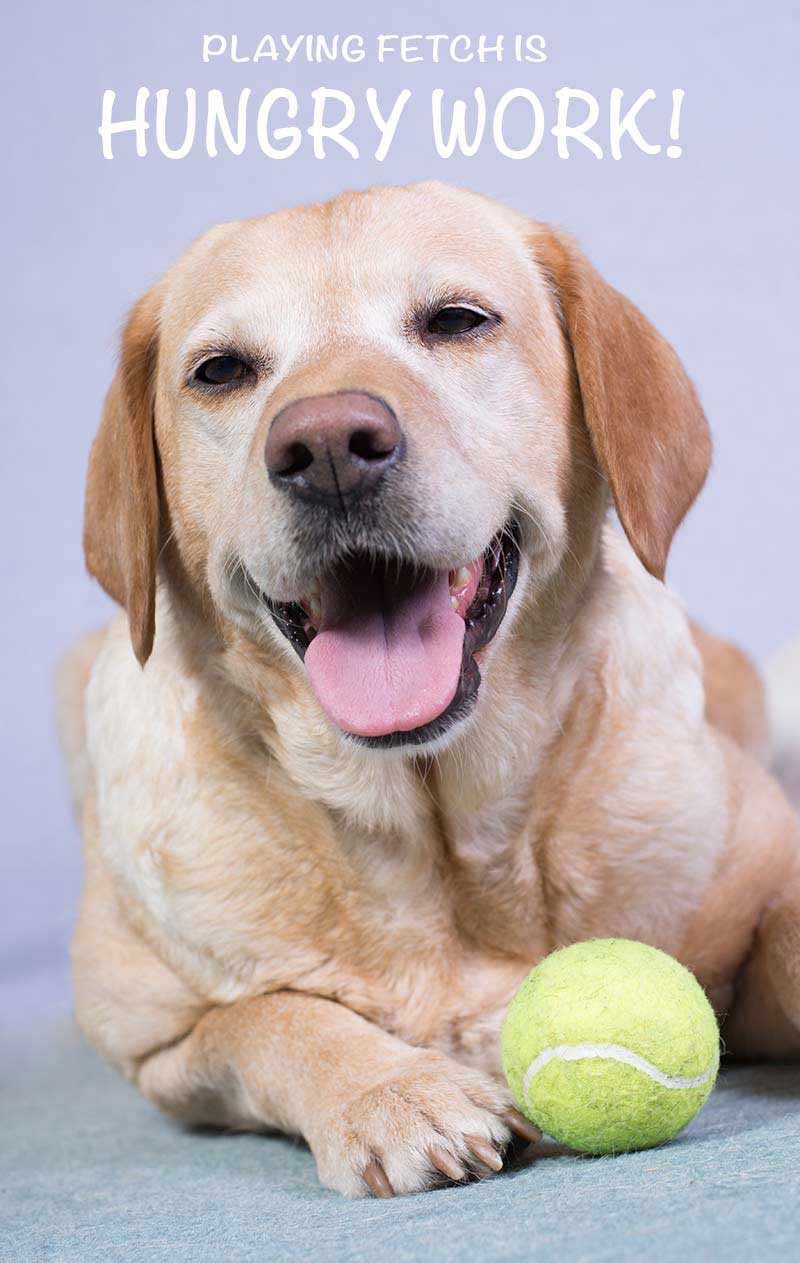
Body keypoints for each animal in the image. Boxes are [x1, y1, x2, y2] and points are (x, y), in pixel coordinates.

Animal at [60, 183, 798, 1197]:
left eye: (456, 320)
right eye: (220, 371)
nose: (329, 444)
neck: (440, 833)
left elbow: (788, 931)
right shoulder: (157, 1046)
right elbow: (271, 1015)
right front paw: (394, 1092)